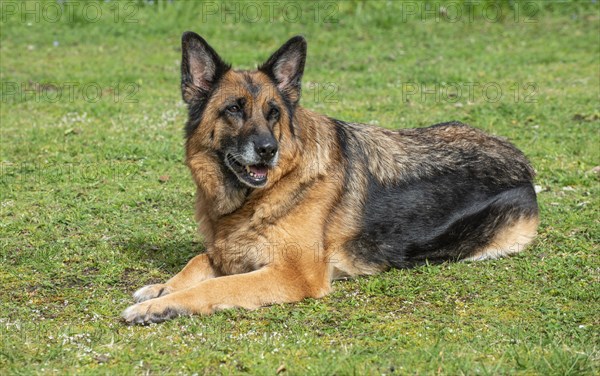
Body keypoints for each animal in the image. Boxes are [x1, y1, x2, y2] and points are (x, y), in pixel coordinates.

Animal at [122, 33, 540, 324]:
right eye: (234, 109)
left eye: (273, 113)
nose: (267, 150)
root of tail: (522, 161)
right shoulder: (229, 252)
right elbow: (198, 261)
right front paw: (161, 289)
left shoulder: (295, 274)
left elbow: (215, 284)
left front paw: (162, 306)